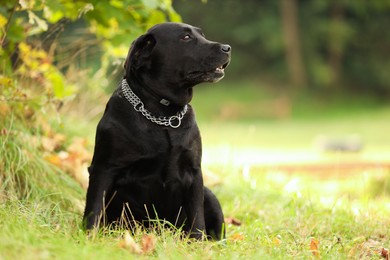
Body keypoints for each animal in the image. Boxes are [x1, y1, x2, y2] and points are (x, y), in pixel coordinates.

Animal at [84, 22, 230, 240]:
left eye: (202, 34)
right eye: (186, 37)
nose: (227, 48)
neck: (163, 115)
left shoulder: (194, 172)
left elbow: (197, 216)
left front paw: (198, 242)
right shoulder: (104, 168)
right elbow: (94, 207)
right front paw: (88, 236)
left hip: (210, 195)